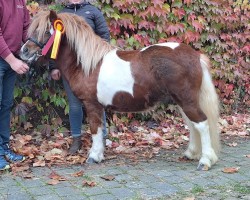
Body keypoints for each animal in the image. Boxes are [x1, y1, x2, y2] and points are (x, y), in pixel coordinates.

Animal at [19, 10, 220, 170]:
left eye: (47, 31)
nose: (23, 51)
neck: (87, 65)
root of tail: (195, 56)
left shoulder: (91, 104)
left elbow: (95, 129)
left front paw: (93, 156)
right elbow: (100, 129)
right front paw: (99, 154)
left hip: (187, 101)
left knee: (201, 123)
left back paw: (204, 161)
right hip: (182, 101)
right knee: (192, 125)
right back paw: (191, 153)